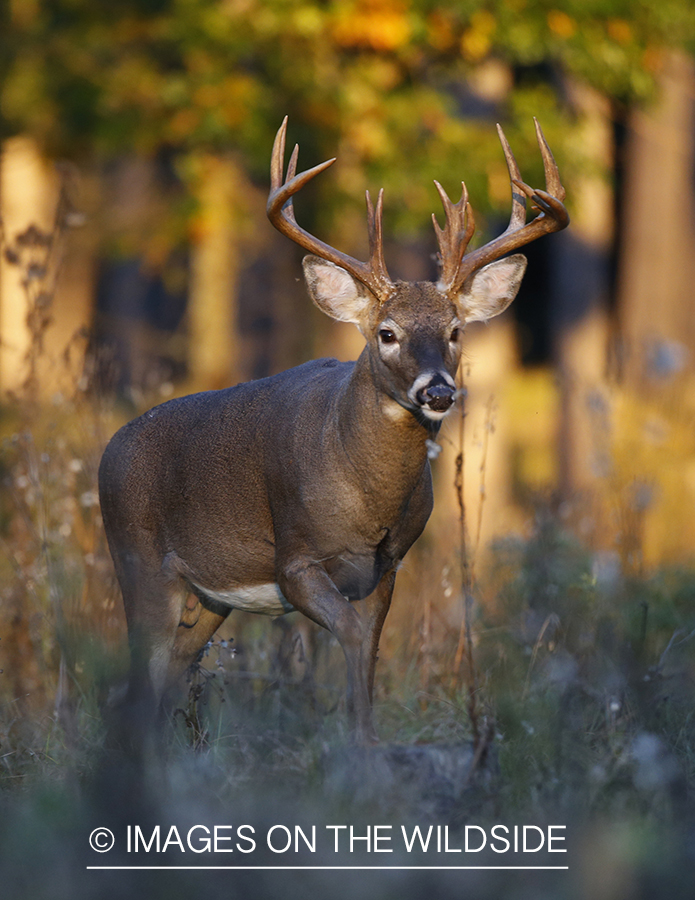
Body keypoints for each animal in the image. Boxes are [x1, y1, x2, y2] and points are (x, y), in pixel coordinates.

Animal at [99, 114, 572, 744]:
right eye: (387, 333)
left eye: (454, 330)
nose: (438, 392)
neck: (367, 499)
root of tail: (109, 449)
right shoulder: (295, 560)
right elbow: (347, 635)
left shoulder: (388, 566)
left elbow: (368, 654)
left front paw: (365, 747)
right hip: (140, 563)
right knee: (137, 684)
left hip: (208, 599)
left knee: (164, 681)